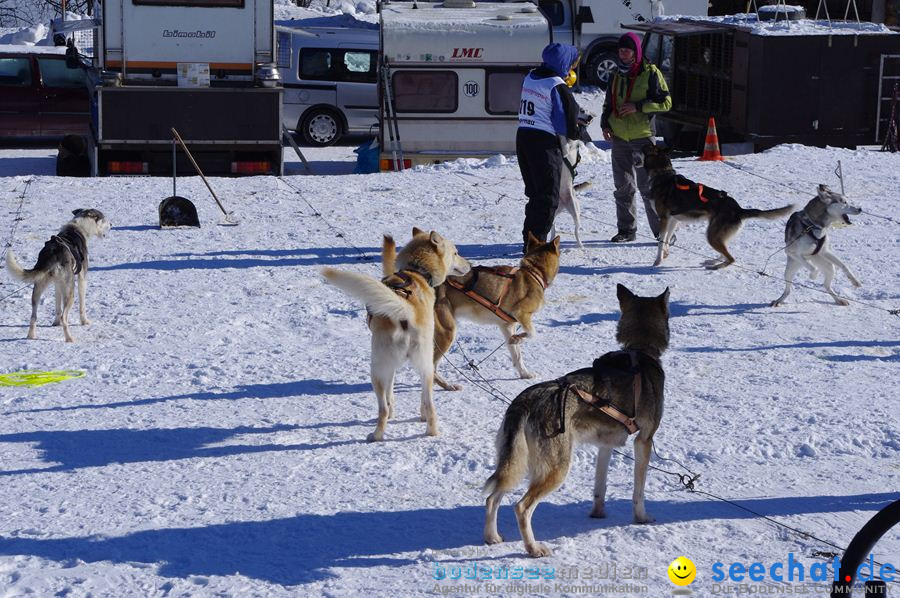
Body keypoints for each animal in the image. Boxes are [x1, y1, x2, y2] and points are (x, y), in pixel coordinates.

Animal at [5, 210, 110, 342]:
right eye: (104, 218)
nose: (111, 224)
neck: (79, 227)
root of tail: (53, 252)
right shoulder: (82, 278)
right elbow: (82, 305)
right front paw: (84, 321)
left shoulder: (58, 284)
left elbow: (57, 306)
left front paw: (55, 323)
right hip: (70, 292)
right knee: (64, 318)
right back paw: (69, 338)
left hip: (38, 289)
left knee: (33, 316)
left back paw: (31, 336)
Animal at [322, 227, 472, 442]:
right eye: (456, 253)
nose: (470, 265)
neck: (416, 271)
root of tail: (405, 312)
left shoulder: (389, 369)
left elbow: (389, 396)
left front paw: (391, 412)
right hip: (426, 367)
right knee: (429, 404)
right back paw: (431, 431)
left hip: (376, 368)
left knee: (382, 408)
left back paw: (376, 435)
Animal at [378, 232, 556, 392]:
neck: (533, 272)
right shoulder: (522, 314)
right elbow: (531, 333)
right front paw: (518, 339)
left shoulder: (507, 326)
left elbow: (517, 355)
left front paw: (524, 372)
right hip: (447, 332)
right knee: (431, 366)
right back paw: (447, 385)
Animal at [486, 284, 668, 556]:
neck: (640, 352)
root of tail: (528, 399)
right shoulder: (644, 442)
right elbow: (638, 492)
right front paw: (642, 518)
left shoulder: (606, 446)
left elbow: (600, 488)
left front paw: (598, 514)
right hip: (556, 469)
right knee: (521, 507)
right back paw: (533, 548)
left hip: (513, 464)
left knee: (492, 498)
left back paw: (491, 537)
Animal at [640, 145, 796, 270]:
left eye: (644, 148)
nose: (637, 149)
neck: (662, 174)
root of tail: (738, 209)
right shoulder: (673, 220)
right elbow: (666, 240)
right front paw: (665, 254)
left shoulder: (664, 219)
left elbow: (661, 242)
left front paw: (657, 261)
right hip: (716, 234)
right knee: (725, 252)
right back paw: (713, 261)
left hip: (711, 235)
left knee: (731, 258)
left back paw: (716, 266)